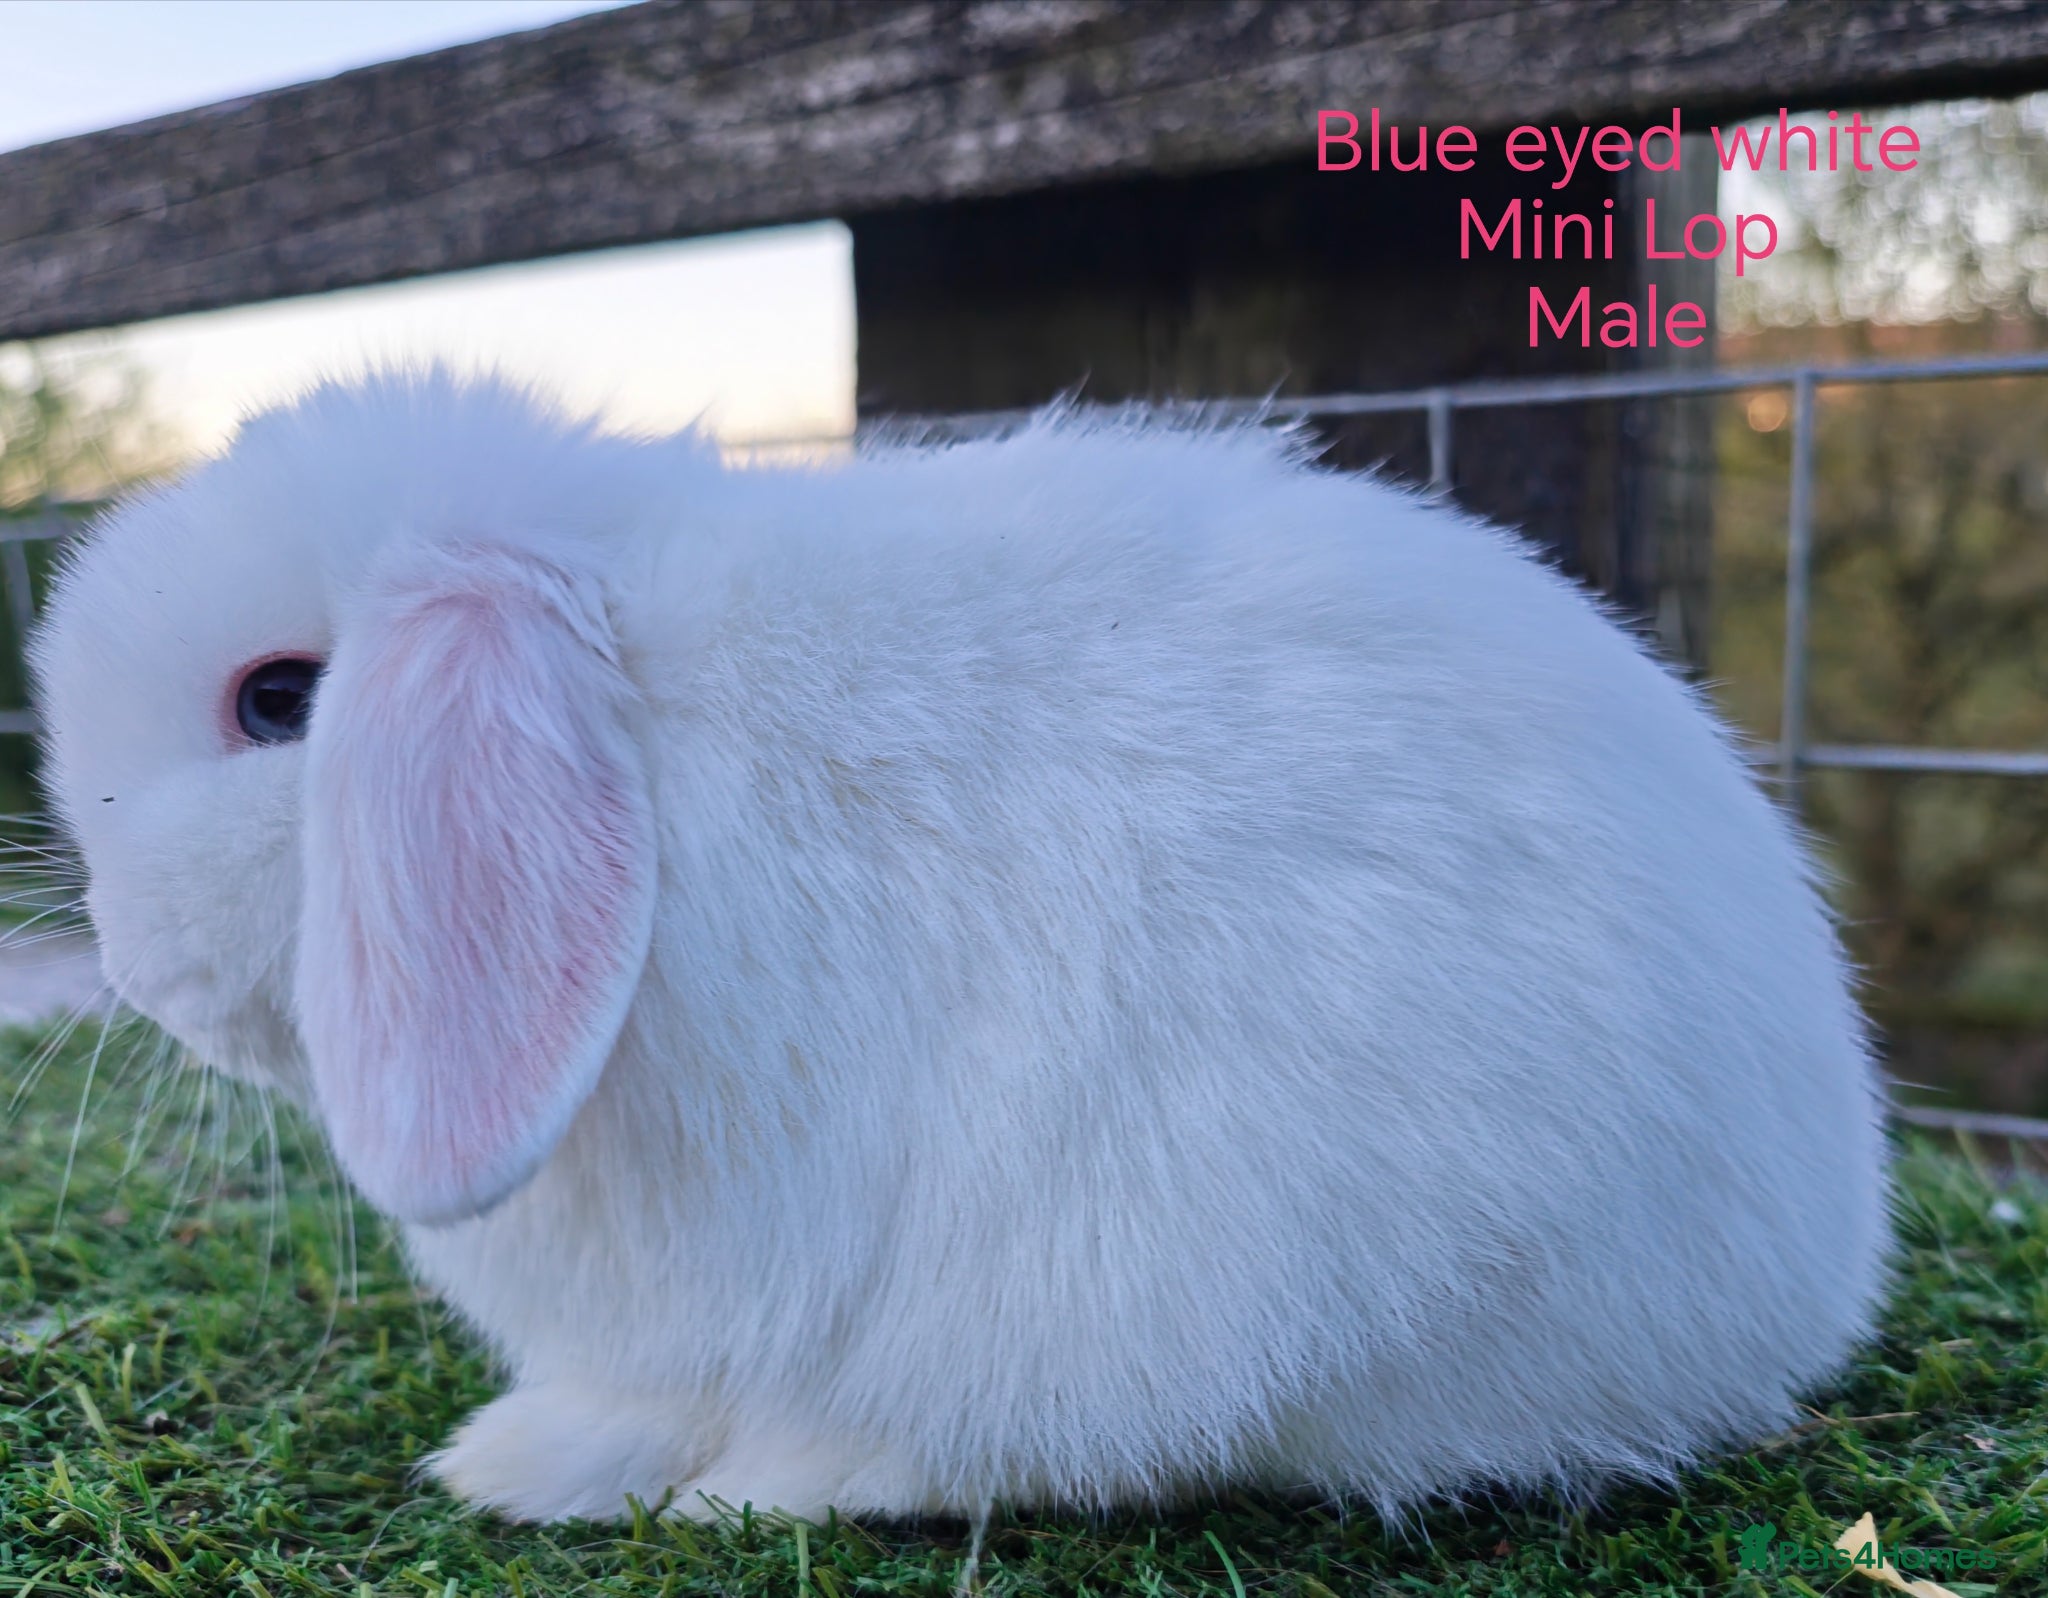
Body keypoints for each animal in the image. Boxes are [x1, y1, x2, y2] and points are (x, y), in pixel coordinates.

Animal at [31, 370, 1893, 1527]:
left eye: (280, 702)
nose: (131, 965)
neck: (651, 735)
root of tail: (1796, 1289)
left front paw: (524, 1468)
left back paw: (767, 1482)